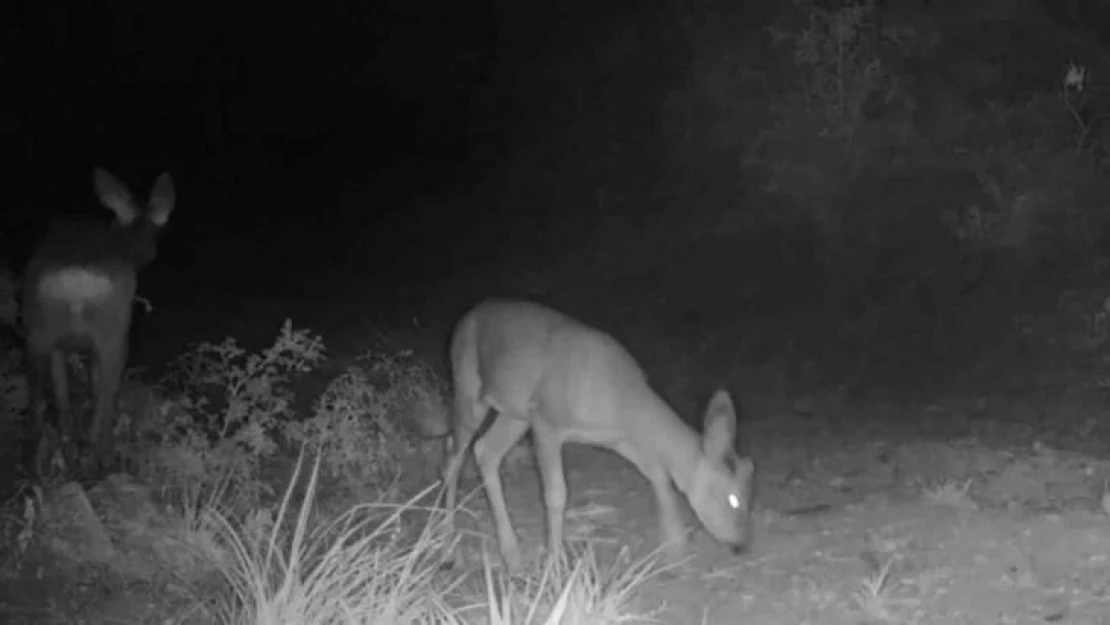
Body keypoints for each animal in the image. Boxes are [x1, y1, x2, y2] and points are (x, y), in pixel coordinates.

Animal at [21, 168, 175, 472]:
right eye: (155, 231)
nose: (150, 254)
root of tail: (76, 280)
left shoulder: (62, 346)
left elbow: (64, 399)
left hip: (38, 331)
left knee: (40, 402)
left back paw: (42, 463)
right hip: (112, 334)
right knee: (104, 400)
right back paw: (103, 460)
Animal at [441, 299, 754, 572]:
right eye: (733, 499)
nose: (741, 544)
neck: (622, 401)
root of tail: (466, 317)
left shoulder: (621, 439)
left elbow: (659, 476)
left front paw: (676, 548)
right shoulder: (547, 421)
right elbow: (556, 493)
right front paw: (555, 565)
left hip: (515, 414)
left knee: (484, 450)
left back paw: (512, 557)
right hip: (468, 386)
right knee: (453, 455)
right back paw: (447, 544)